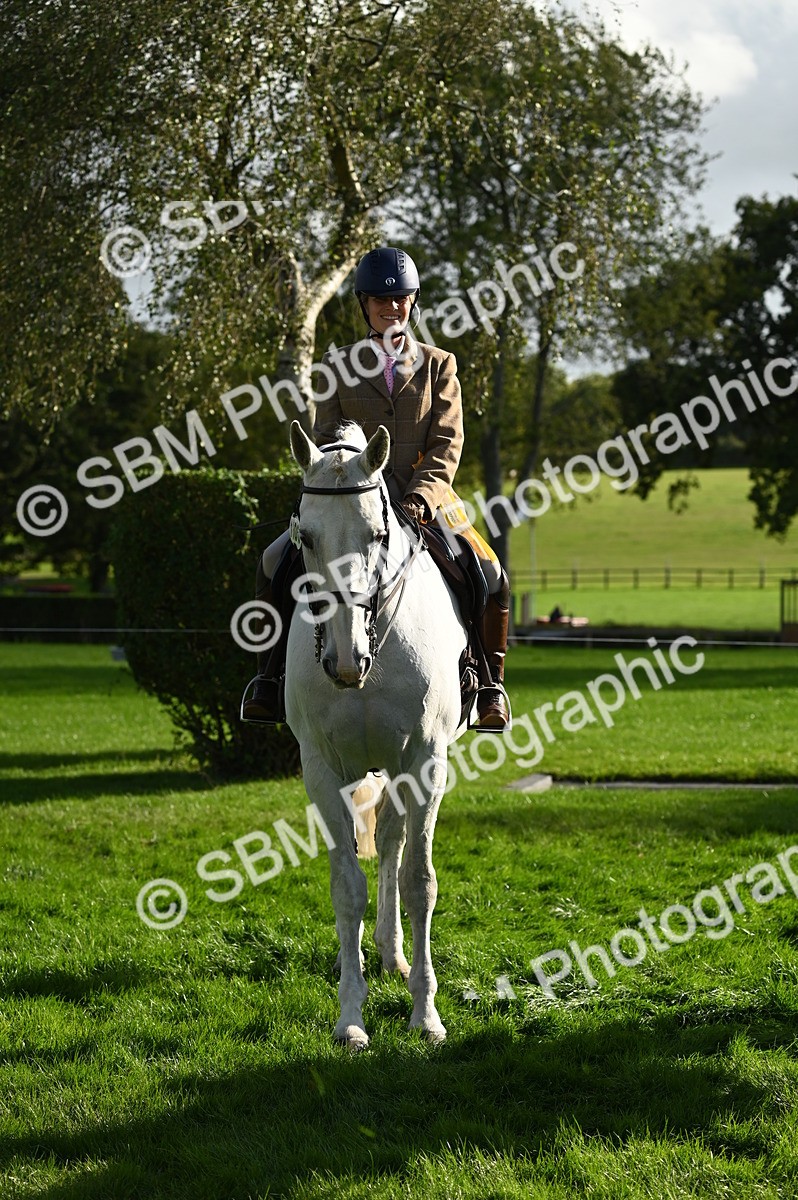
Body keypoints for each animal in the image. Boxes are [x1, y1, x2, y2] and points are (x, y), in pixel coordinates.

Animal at [284, 419, 468, 1050]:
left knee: (393, 843)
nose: (344, 662)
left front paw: (426, 1014)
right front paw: (350, 1017)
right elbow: (347, 887)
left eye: (376, 533)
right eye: (307, 538)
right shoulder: (322, 771)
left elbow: (419, 881)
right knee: (386, 840)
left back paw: (396, 957)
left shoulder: (426, 762)